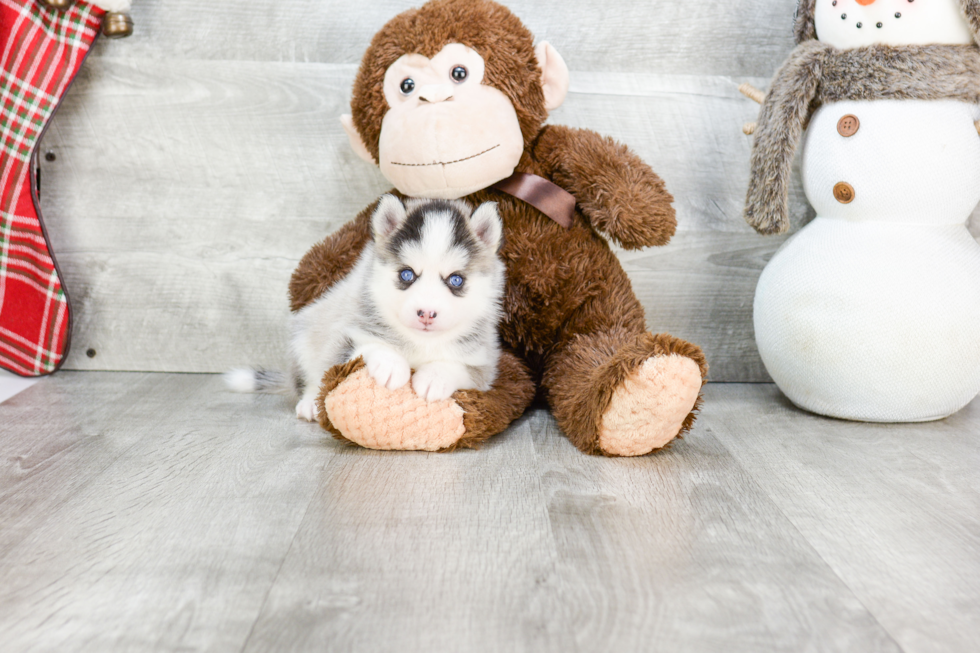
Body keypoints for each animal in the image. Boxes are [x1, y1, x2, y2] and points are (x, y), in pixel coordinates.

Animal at [230, 194, 506, 420]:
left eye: (456, 280)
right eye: (407, 274)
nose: (426, 313)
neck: (419, 342)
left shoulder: (484, 363)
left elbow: (460, 367)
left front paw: (434, 377)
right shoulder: (344, 337)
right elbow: (369, 345)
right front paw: (391, 364)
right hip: (305, 335)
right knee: (309, 377)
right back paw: (309, 403)